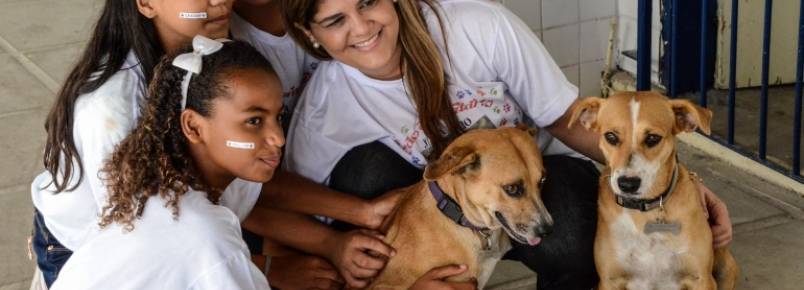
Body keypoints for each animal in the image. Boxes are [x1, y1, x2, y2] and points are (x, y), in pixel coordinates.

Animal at [568, 92, 740, 290]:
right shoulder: (609, 281)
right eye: (610, 136)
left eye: (652, 138)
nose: (627, 184)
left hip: (726, 268)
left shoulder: (702, 279)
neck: (643, 213)